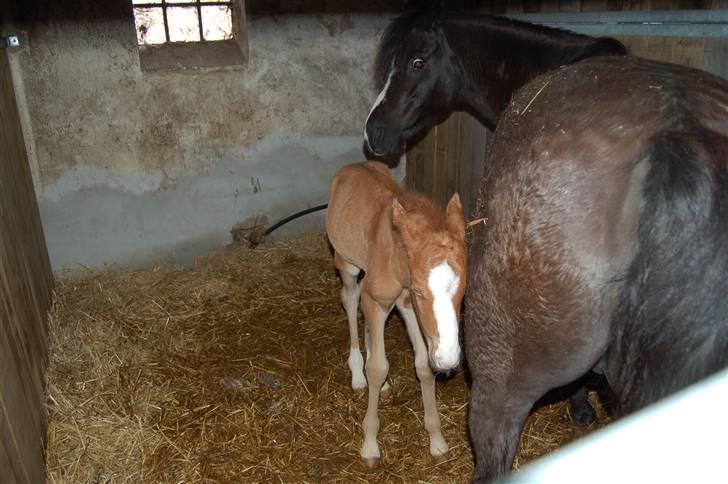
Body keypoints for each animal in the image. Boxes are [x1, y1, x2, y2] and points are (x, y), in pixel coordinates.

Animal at [326, 162, 466, 466]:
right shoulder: (385, 300)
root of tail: (355, 165)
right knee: (351, 298)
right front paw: (369, 445)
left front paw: (437, 441)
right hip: (346, 263)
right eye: (420, 290)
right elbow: (377, 367)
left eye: (463, 291)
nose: (449, 358)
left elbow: (424, 365)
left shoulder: (407, 305)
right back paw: (357, 372)